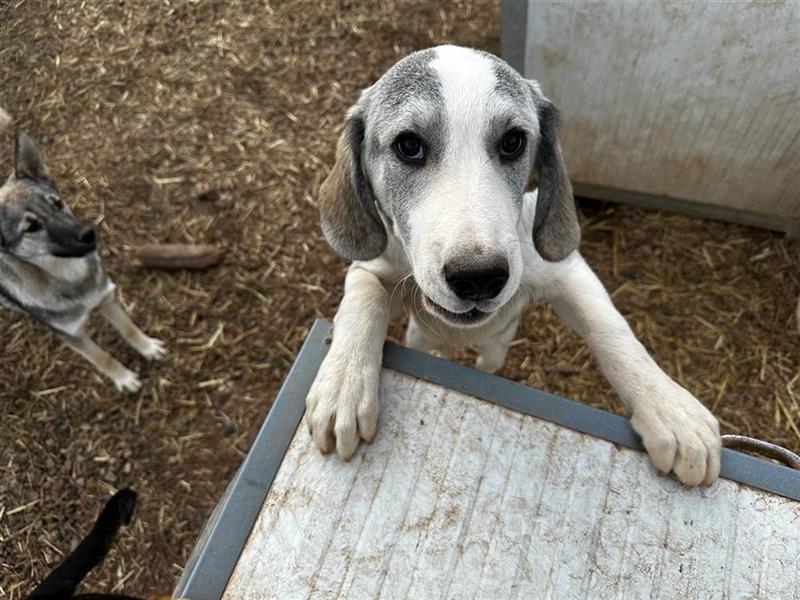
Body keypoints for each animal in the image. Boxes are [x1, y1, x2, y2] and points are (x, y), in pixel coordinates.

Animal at [0, 132, 164, 392]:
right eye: (31, 227)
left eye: (56, 203)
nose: (89, 234)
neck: (71, 276)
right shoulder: (72, 335)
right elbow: (102, 358)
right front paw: (124, 379)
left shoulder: (105, 299)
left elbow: (129, 329)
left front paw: (147, 347)